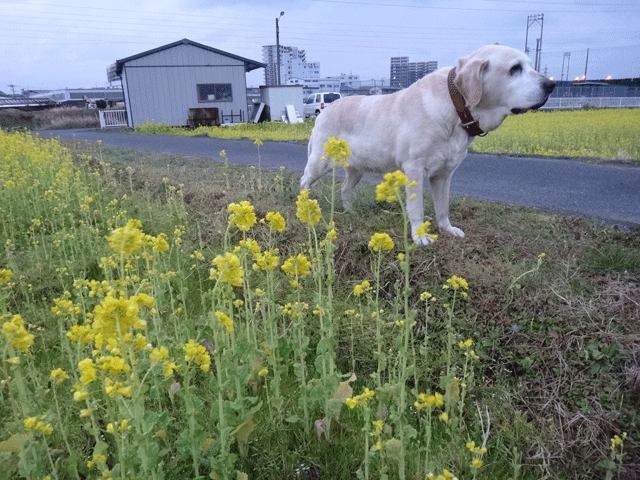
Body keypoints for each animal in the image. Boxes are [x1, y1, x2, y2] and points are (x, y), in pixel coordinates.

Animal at [300, 46, 556, 244]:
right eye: (515, 68)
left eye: (529, 65)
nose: (551, 85)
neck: (456, 107)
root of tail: (324, 110)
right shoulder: (414, 168)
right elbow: (417, 209)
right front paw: (419, 236)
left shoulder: (444, 174)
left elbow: (442, 208)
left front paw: (447, 229)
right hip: (319, 163)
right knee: (304, 181)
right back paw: (303, 206)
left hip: (356, 169)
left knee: (344, 189)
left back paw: (350, 211)